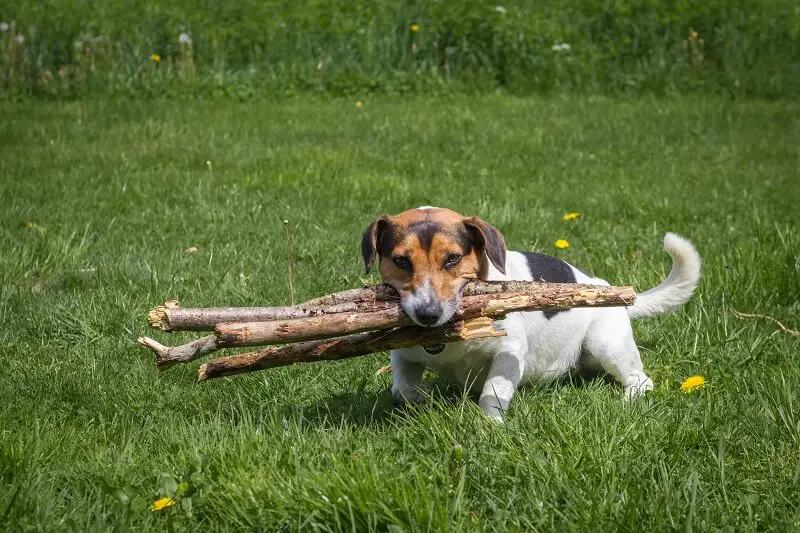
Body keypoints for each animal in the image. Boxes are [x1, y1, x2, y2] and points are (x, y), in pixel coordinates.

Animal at [362, 206, 700, 422]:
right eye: (401, 261)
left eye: (453, 259)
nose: (428, 314)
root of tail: (604, 285)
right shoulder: (402, 354)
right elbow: (403, 388)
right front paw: (423, 396)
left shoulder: (509, 351)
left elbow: (493, 391)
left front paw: (489, 427)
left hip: (606, 342)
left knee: (641, 380)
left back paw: (628, 401)